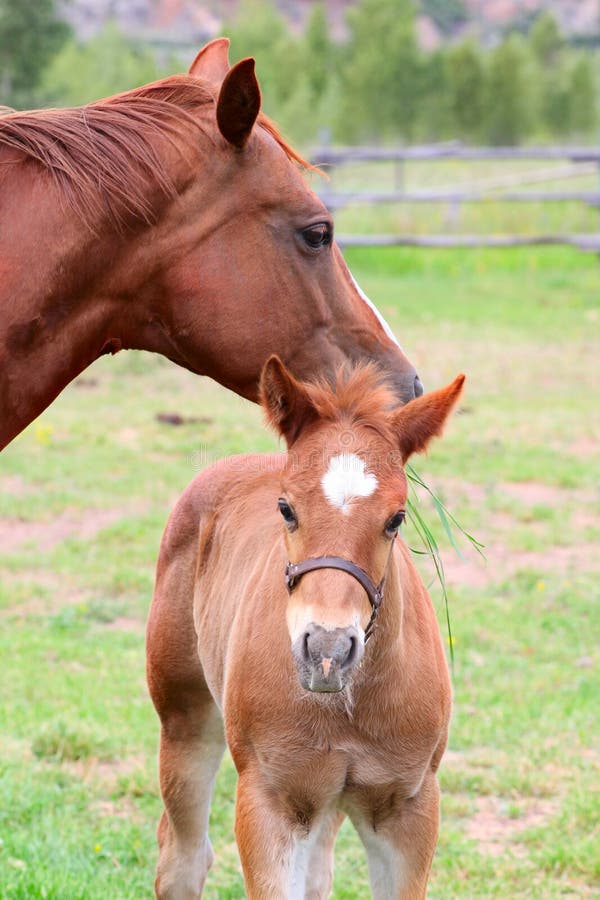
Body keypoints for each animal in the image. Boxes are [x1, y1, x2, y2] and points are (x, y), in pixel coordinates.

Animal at [146, 358, 464, 900]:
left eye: (397, 518)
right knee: (183, 860)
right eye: (286, 508)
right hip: (185, 718)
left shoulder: (410, 806)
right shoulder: (271, 802)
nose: (328, 651)